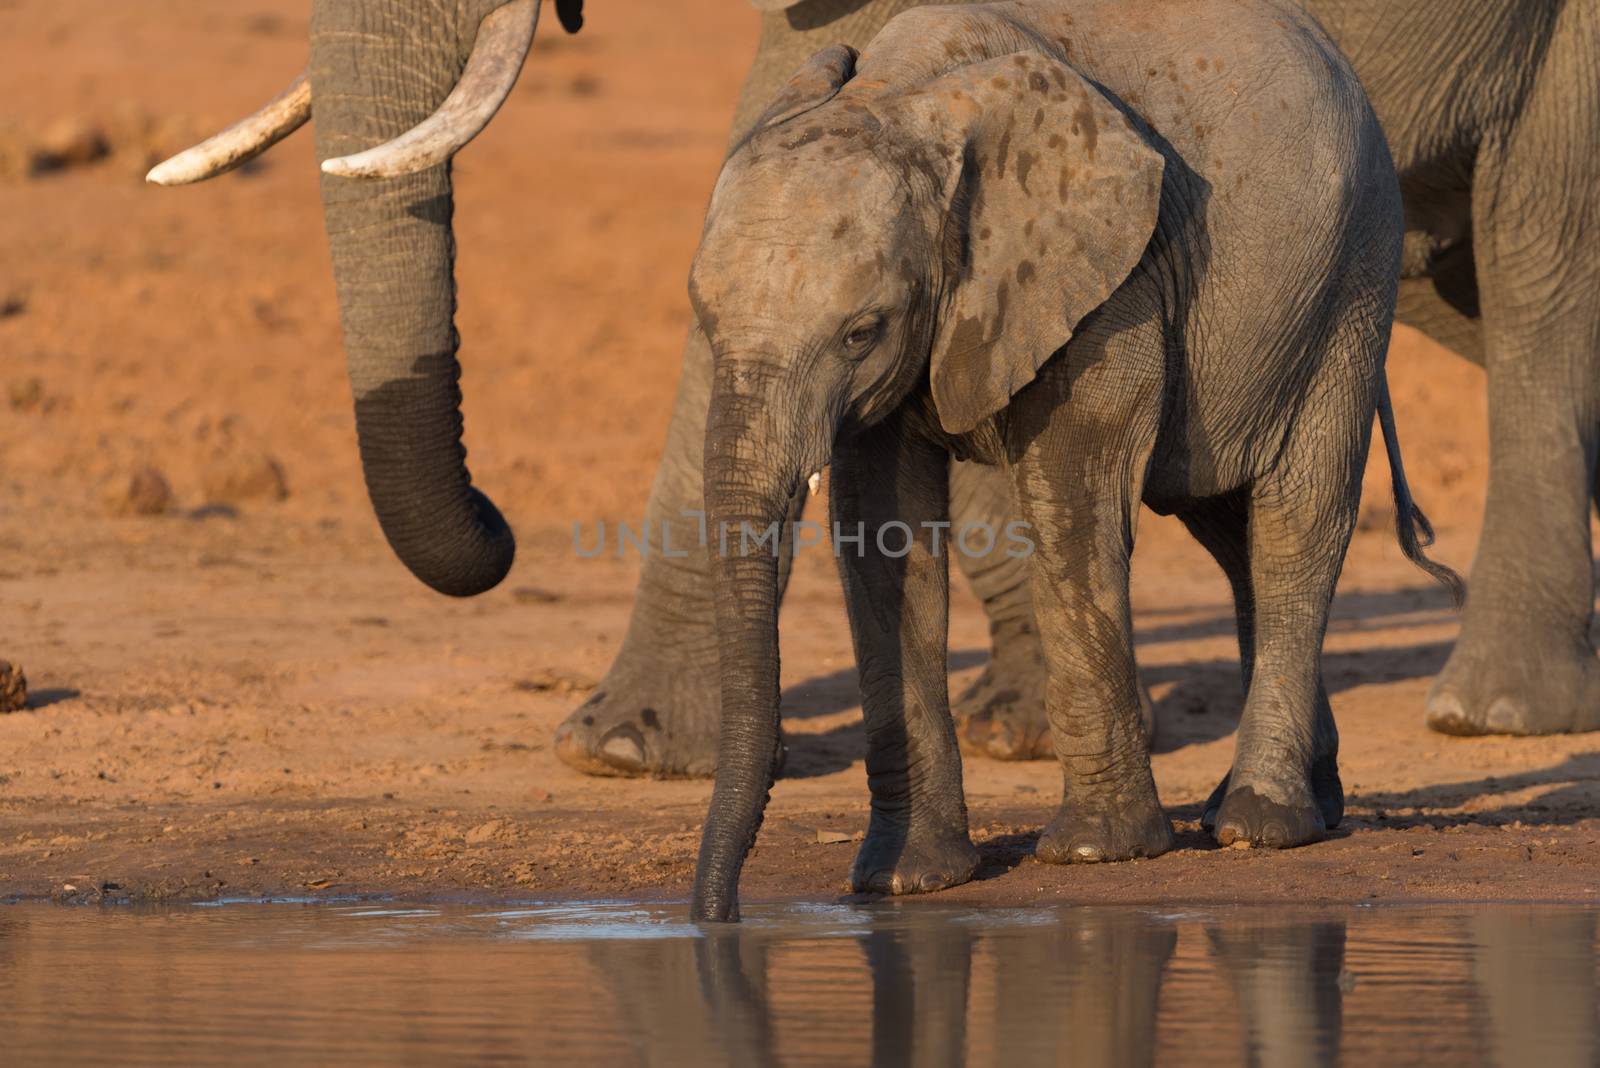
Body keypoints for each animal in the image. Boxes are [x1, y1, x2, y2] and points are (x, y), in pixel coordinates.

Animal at [681, 0, 1459, 920]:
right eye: (702, 313)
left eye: (860, 332)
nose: (719, 919)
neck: (902, 96)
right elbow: (884, 538)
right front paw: (904, 880)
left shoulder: (1109, 288)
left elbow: (1072, 507)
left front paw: (1097, 852)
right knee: (1226, 528)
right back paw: (1293, 804)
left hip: (1354, 275)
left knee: (1294, 521)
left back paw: (1260, 823)